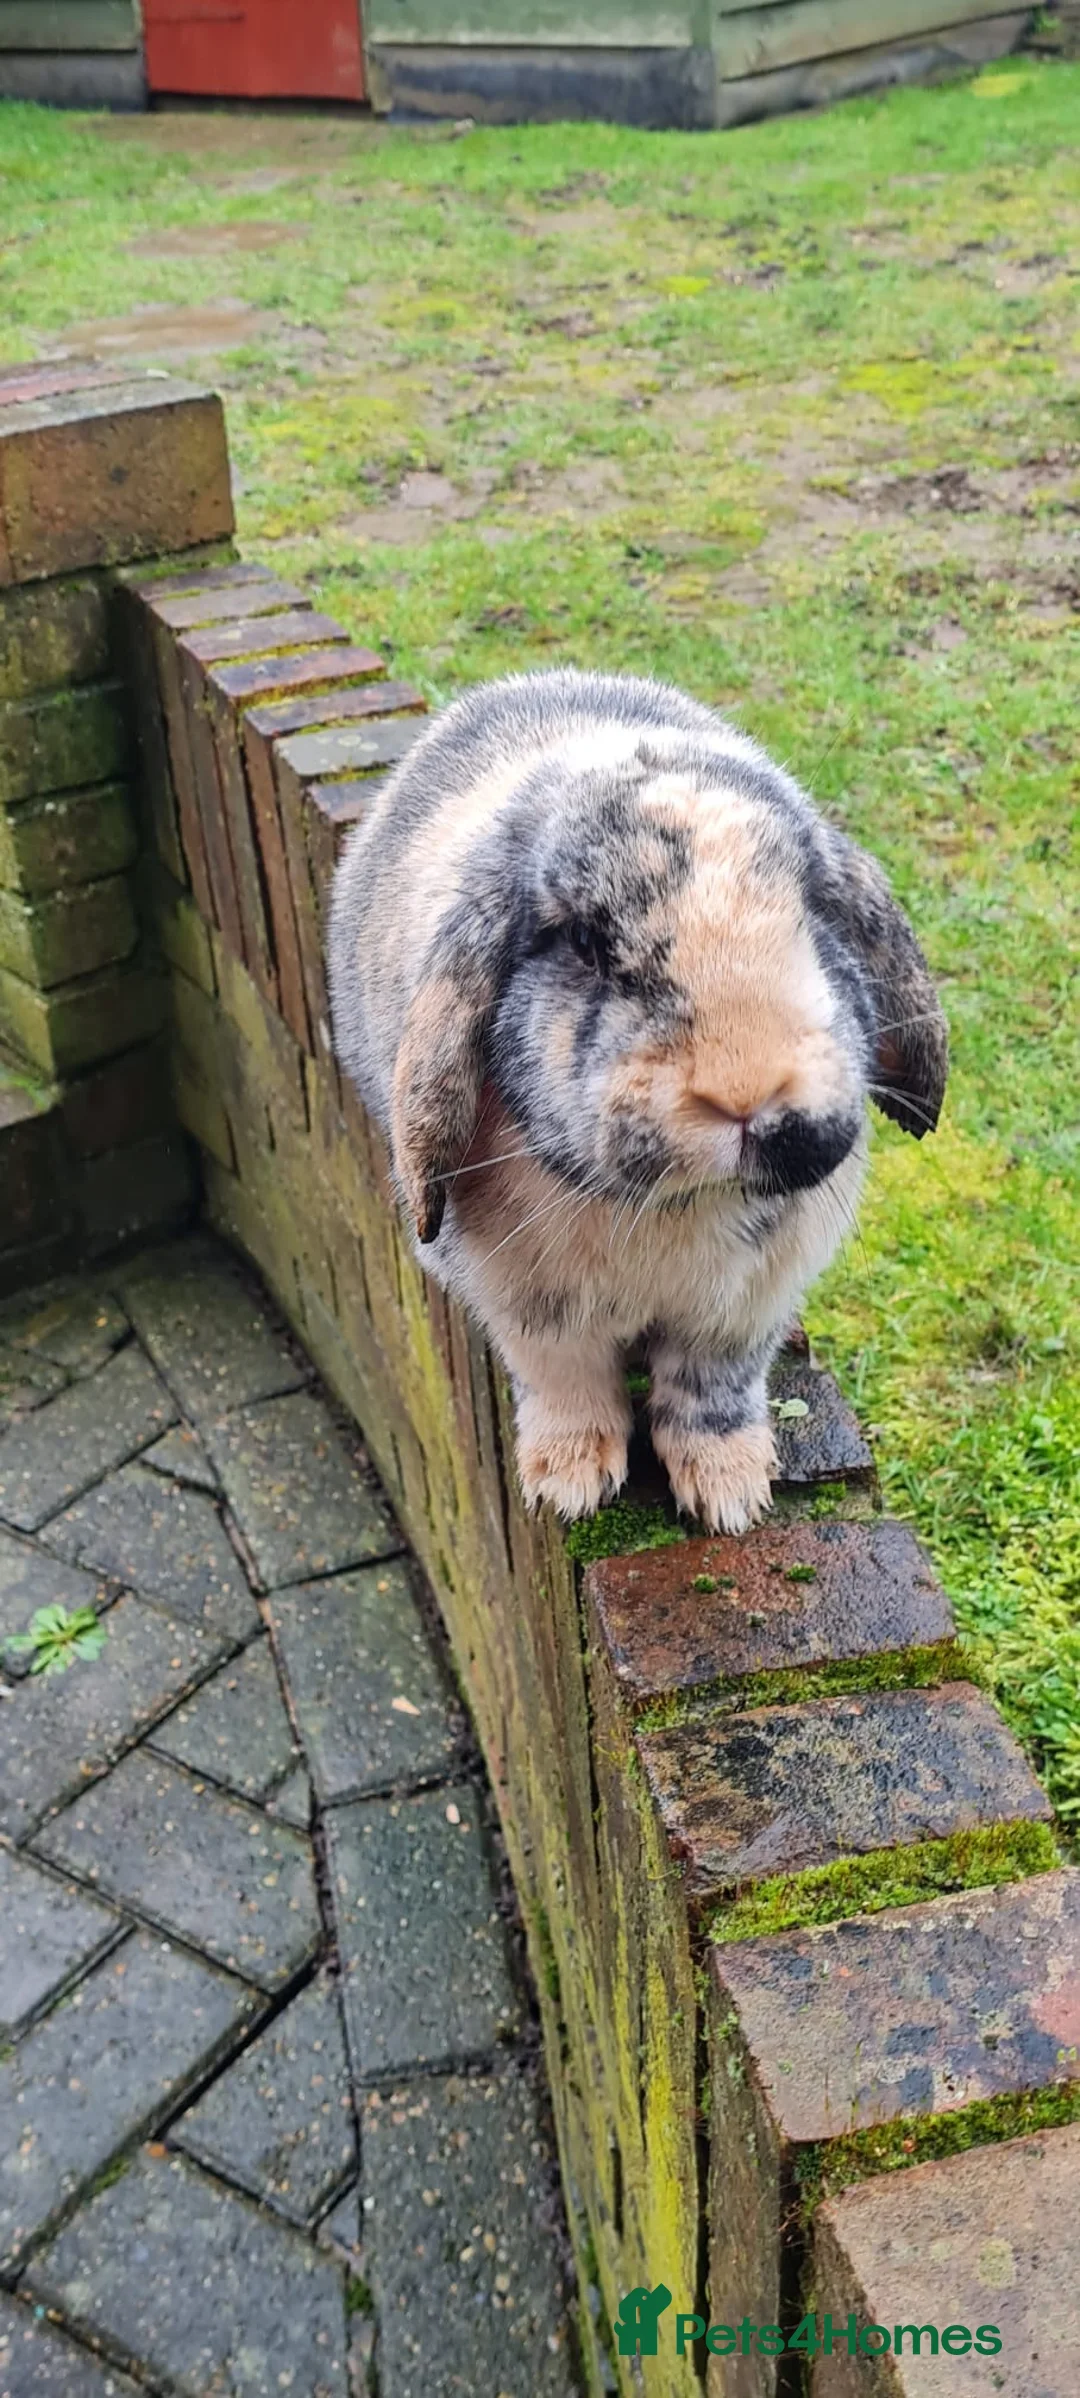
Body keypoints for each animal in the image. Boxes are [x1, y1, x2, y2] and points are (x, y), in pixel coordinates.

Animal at [328, 669, 947, 1534]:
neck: (677, 1207)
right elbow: (566, 1385)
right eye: (586, 943)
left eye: (815, 911)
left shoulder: (744, 1310)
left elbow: (711, 1391)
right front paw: (569, 1486)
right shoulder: (528, 1310)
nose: (746, 1095)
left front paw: (730, 1497)